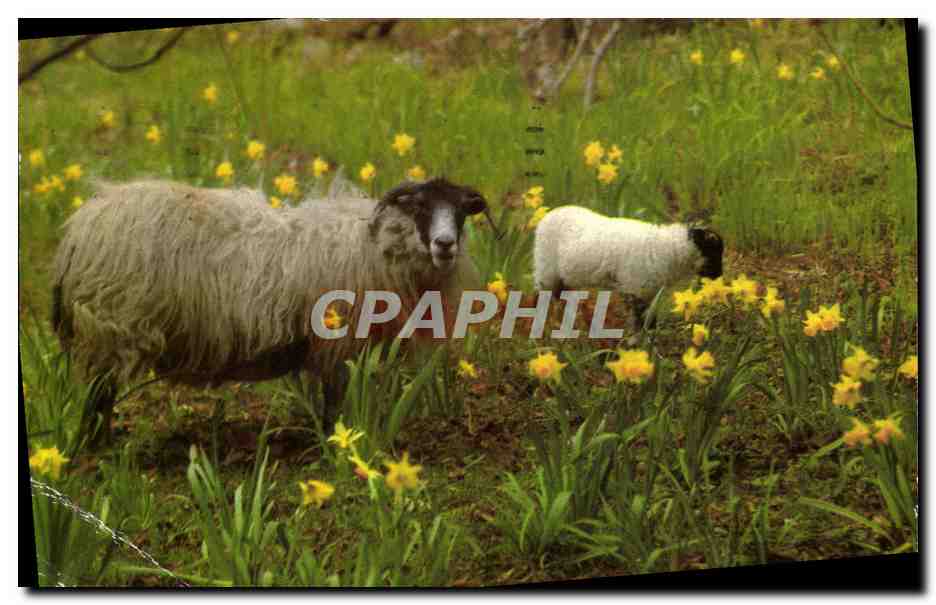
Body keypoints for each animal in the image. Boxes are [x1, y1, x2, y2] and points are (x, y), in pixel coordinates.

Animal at [52, 177, 491, 445]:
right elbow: (335, 402)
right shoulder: (338, 344)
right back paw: (99, 448)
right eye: (420, 208)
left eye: (460, 211)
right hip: (110, 331)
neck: (375, 245)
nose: (445, 245)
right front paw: (336, 443)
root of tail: (77, 229)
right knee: (98, 397)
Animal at [533, 205, 724, 332]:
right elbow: (639, 322)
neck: (670, 250)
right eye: (715, 252)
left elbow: (650, 320)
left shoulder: (649, 292)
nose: (719, 276)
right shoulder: (635, 288)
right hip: (546, 270)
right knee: (542, 297)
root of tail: (551, 213)